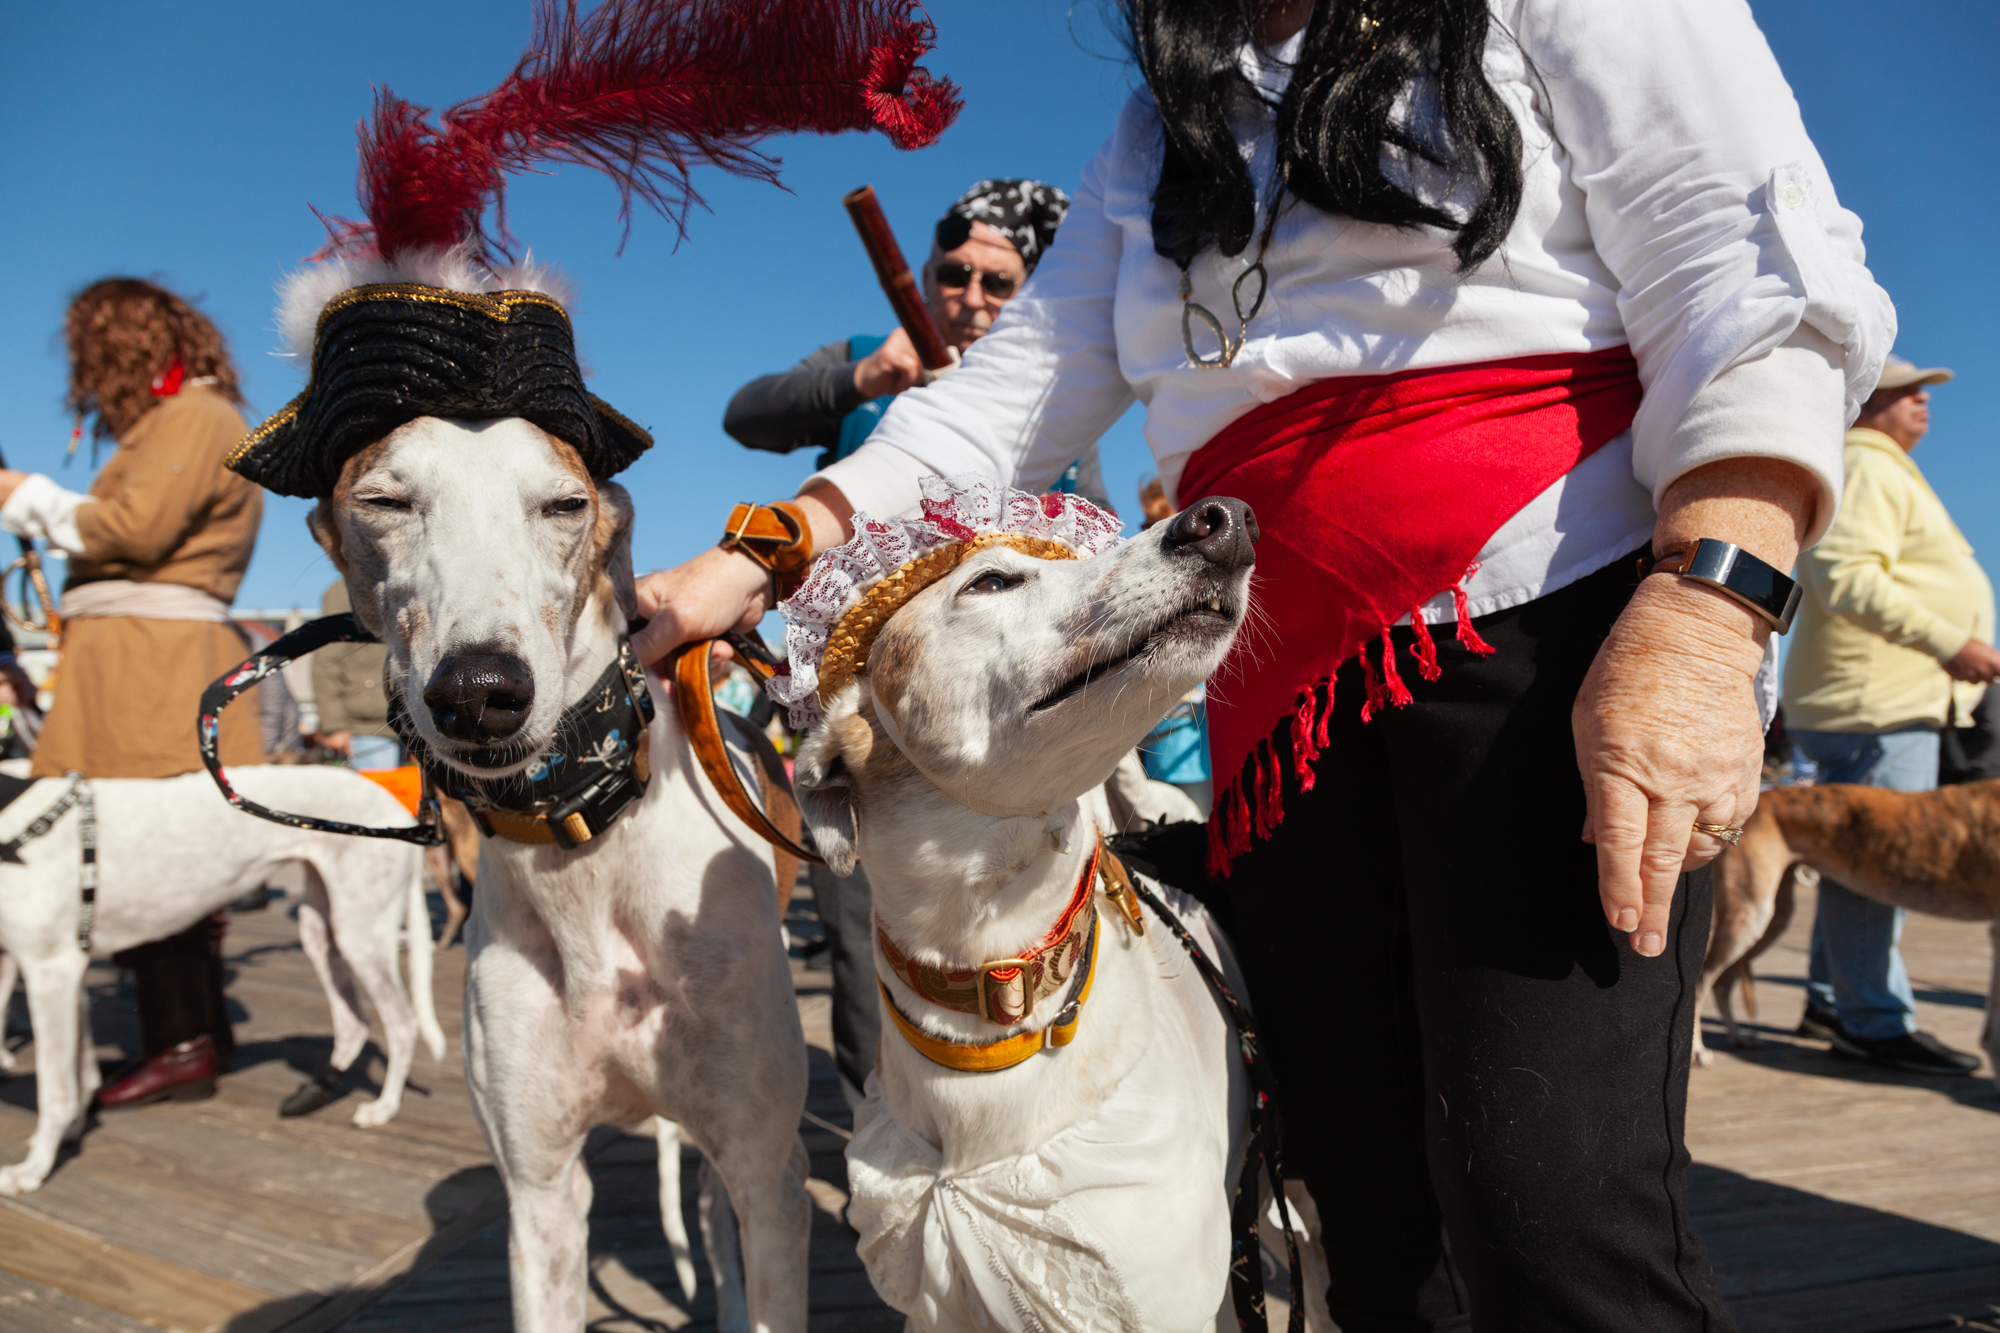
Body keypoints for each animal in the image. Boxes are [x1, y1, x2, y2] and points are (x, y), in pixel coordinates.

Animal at [0, 764, 442, 1184]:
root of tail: (403, 814)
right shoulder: (46, 970)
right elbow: (82, 1072)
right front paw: (68, 1135)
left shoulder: (51, 970)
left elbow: (56, 1089)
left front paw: (33, 1170)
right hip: (321, 928)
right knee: (354, 1024)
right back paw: (316, 1092)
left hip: (361, 930)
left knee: (402, 1023)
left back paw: (384, 1108)